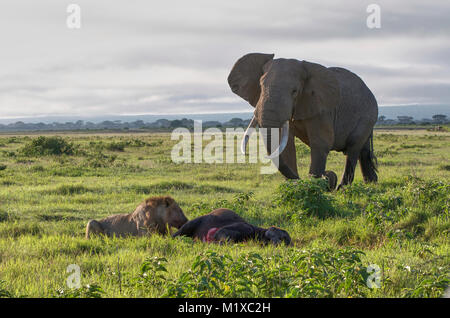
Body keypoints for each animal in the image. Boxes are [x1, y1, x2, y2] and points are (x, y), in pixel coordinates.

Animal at [227, 52, 378, 189]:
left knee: (353, 148)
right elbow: (286, 145)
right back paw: (371, 183)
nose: (328, 176)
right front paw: (294, 187)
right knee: (363, 152)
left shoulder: (321, 108)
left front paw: (314, 187)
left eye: (295, 91)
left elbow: (320, 143)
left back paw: (342, 188)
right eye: (261, 86)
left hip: (367, 115)